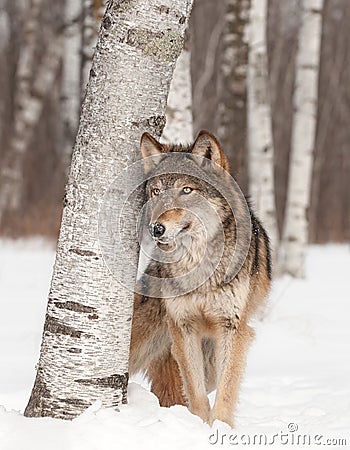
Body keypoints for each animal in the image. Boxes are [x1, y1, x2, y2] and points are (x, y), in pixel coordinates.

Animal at [129, 129, 270, 426]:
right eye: (156, 192)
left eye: (186, 190)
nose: (156, 228)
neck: (198, 265)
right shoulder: (184, 327)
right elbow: (194, 392)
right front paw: (199, 425)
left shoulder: (233, 328)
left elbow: (226, 391)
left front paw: (221, 427)